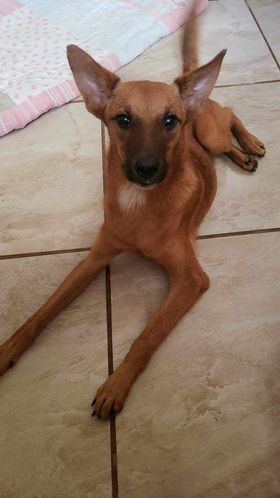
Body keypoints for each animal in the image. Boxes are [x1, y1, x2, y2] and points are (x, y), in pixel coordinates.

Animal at [0, 4, 264, 416]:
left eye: (170, 121)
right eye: (123, 120)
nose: (147, 170)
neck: (138, 204)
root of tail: (193, 90)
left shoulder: (191, 280)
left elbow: (147, 336)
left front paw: (115, 385)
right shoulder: (94, 258)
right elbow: (42, 310)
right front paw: (8, 349)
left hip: (209, 132)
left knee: (231, 114)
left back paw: (250, 144)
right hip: (208, 138)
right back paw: (243, 155)